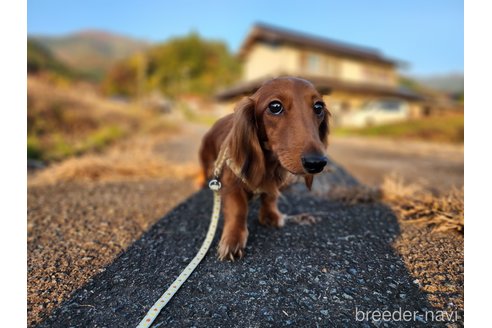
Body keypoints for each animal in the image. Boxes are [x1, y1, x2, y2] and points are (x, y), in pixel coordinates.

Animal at [200, 77, 330, 262]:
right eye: (275, 106)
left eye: (319, 107)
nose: (317, 162)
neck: (270, 163)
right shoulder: (231, 183)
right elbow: (238, 208)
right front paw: (233, 239)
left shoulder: (274, 181)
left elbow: (270, 197)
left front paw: (270, 215)